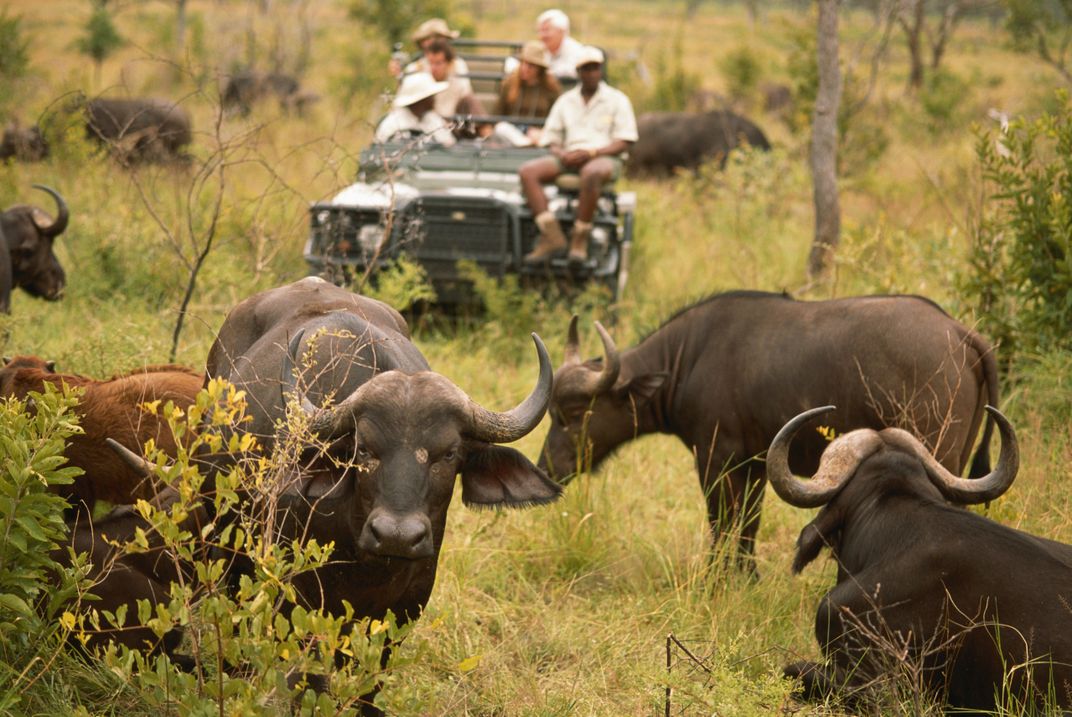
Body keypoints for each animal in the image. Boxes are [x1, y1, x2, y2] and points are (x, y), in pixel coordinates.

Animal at [538, 292, 999, 572]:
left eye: (572, 413)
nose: (547, 467)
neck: (689, 358)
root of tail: (961, 334)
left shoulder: (715, 462)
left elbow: (722, 523)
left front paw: (717, 578)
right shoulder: (757, 465)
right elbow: (748, 526)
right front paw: (747, 577)